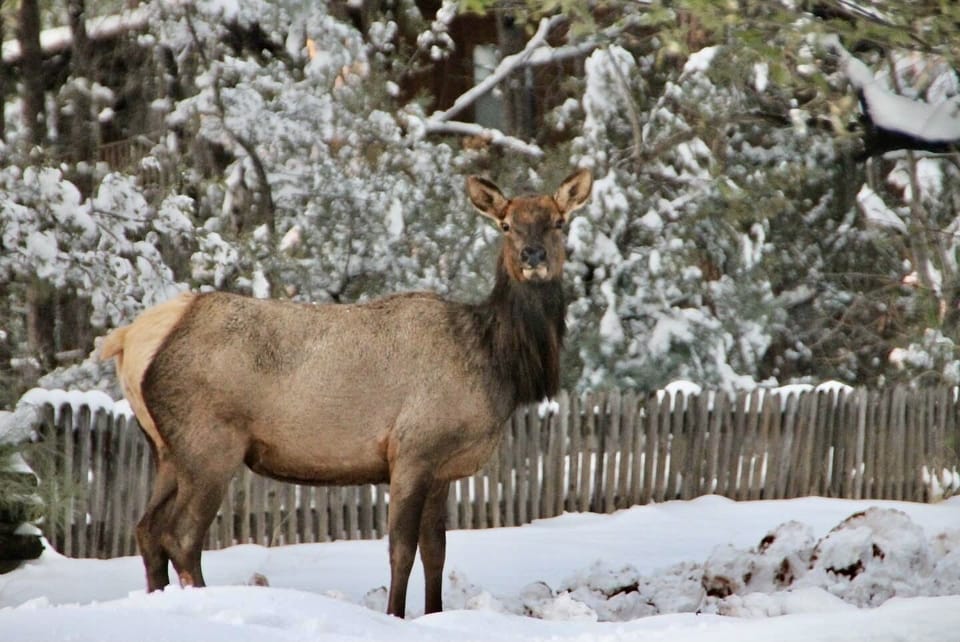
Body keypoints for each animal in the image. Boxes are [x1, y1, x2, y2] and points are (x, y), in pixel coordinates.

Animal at [99, 169, 592, 618]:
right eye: (506, 224)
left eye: (559, 221)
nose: (532, 255)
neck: (496, 362)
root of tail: (128, 339)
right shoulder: (412, 449)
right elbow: (401, 549)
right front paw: (394, 615)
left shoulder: (442, 468)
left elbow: (437, 551)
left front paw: (435, 614)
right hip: (210, 444)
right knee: (181, 536)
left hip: (166, 448)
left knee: (146, 530)